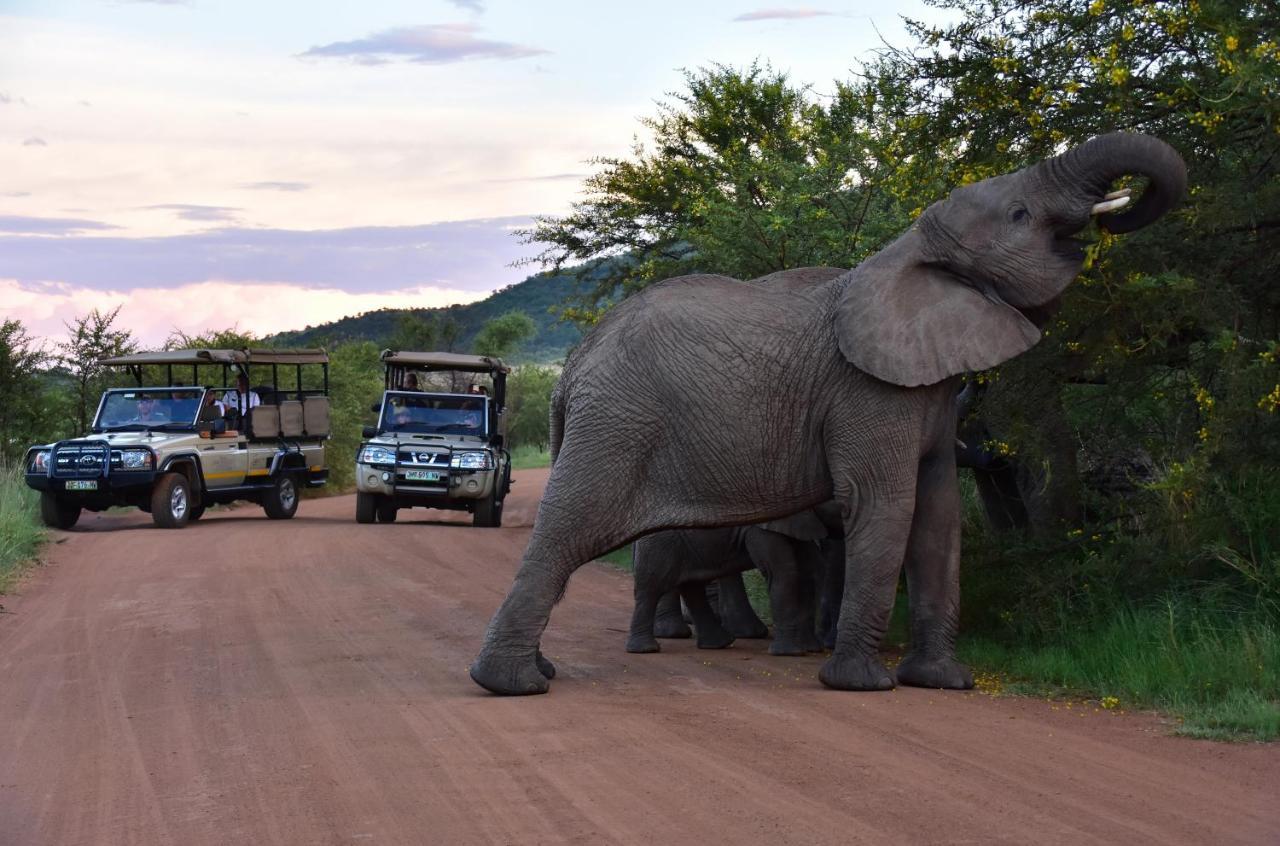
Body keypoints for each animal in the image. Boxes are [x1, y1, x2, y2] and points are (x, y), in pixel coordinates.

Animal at [627, 509, 829, 652]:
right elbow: (782, 573)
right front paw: (791, 653)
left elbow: (810, 571)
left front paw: (810, 649)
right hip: (662, 543)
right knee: (652, 587)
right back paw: (646, 649)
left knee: (691, 586)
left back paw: (718, 643)